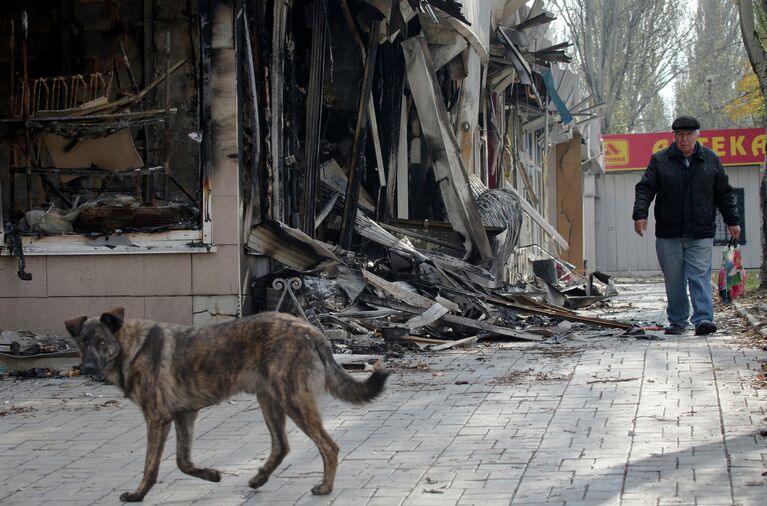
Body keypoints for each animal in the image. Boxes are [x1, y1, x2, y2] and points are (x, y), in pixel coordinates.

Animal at [66, 308, 390, 502]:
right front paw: (211, 475)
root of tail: (311, 331)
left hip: (293, 401)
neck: (130, 347)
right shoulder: (184, 416)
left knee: (328, 446)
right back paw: (259, 478)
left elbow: (151, 466)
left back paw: (325, 488)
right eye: (82, 342)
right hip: (269, 400)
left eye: (102, 342)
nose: (88, 368)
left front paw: (138, 494)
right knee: (282, 446)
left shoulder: (157, 419)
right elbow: (183, 461)